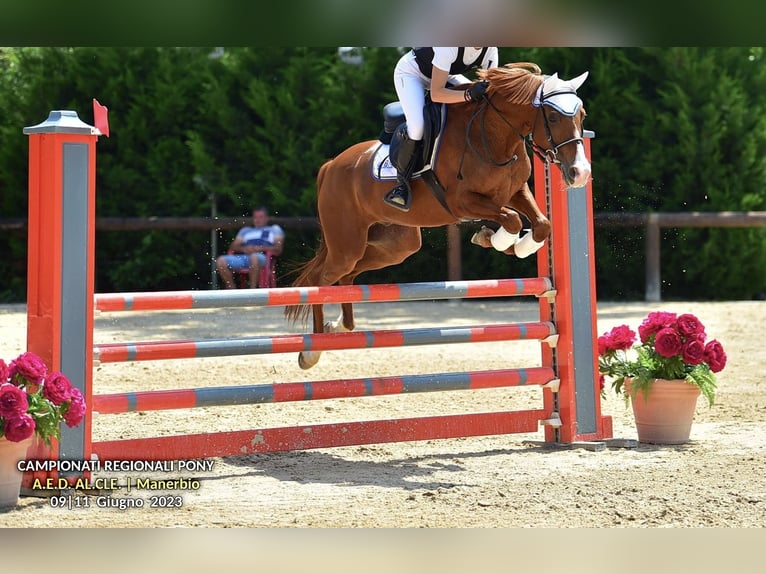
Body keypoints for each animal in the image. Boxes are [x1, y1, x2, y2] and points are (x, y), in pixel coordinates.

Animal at [284, 63, 592, 368]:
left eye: (582, 115)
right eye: (553, 117)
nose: (580, 173)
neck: (493, 136)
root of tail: (330, 165)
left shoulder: (515, 192)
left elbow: (541, 224)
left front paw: (512, 244)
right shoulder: (462, 203)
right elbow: (513, 220)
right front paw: (495, 239)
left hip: (395, 245)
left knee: (347, 277)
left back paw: (338, 328)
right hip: (347, 245)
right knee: (319, 280)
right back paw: (311, 351)